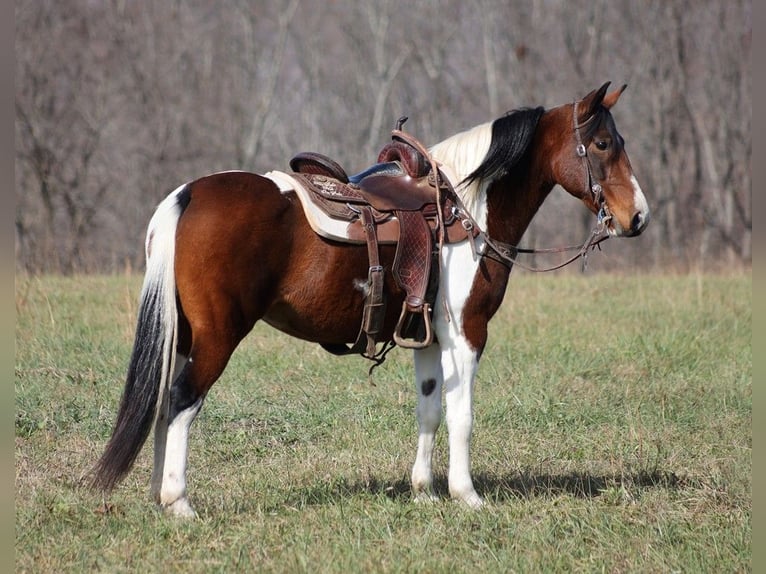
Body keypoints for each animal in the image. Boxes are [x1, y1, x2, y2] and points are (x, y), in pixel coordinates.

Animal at [93, 81, 652, 516]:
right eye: (603, 143)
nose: (638, 218)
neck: (466, 209)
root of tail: (186, 196)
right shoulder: (468, 333)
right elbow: (462, 415)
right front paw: (467, 495)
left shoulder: (429, 338)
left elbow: (429, 410)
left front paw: (425, 492)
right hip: (217, 337)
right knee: (182, 402)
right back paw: (179, 501)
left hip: (184, 336)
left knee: (163, 403)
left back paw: (156, 496)